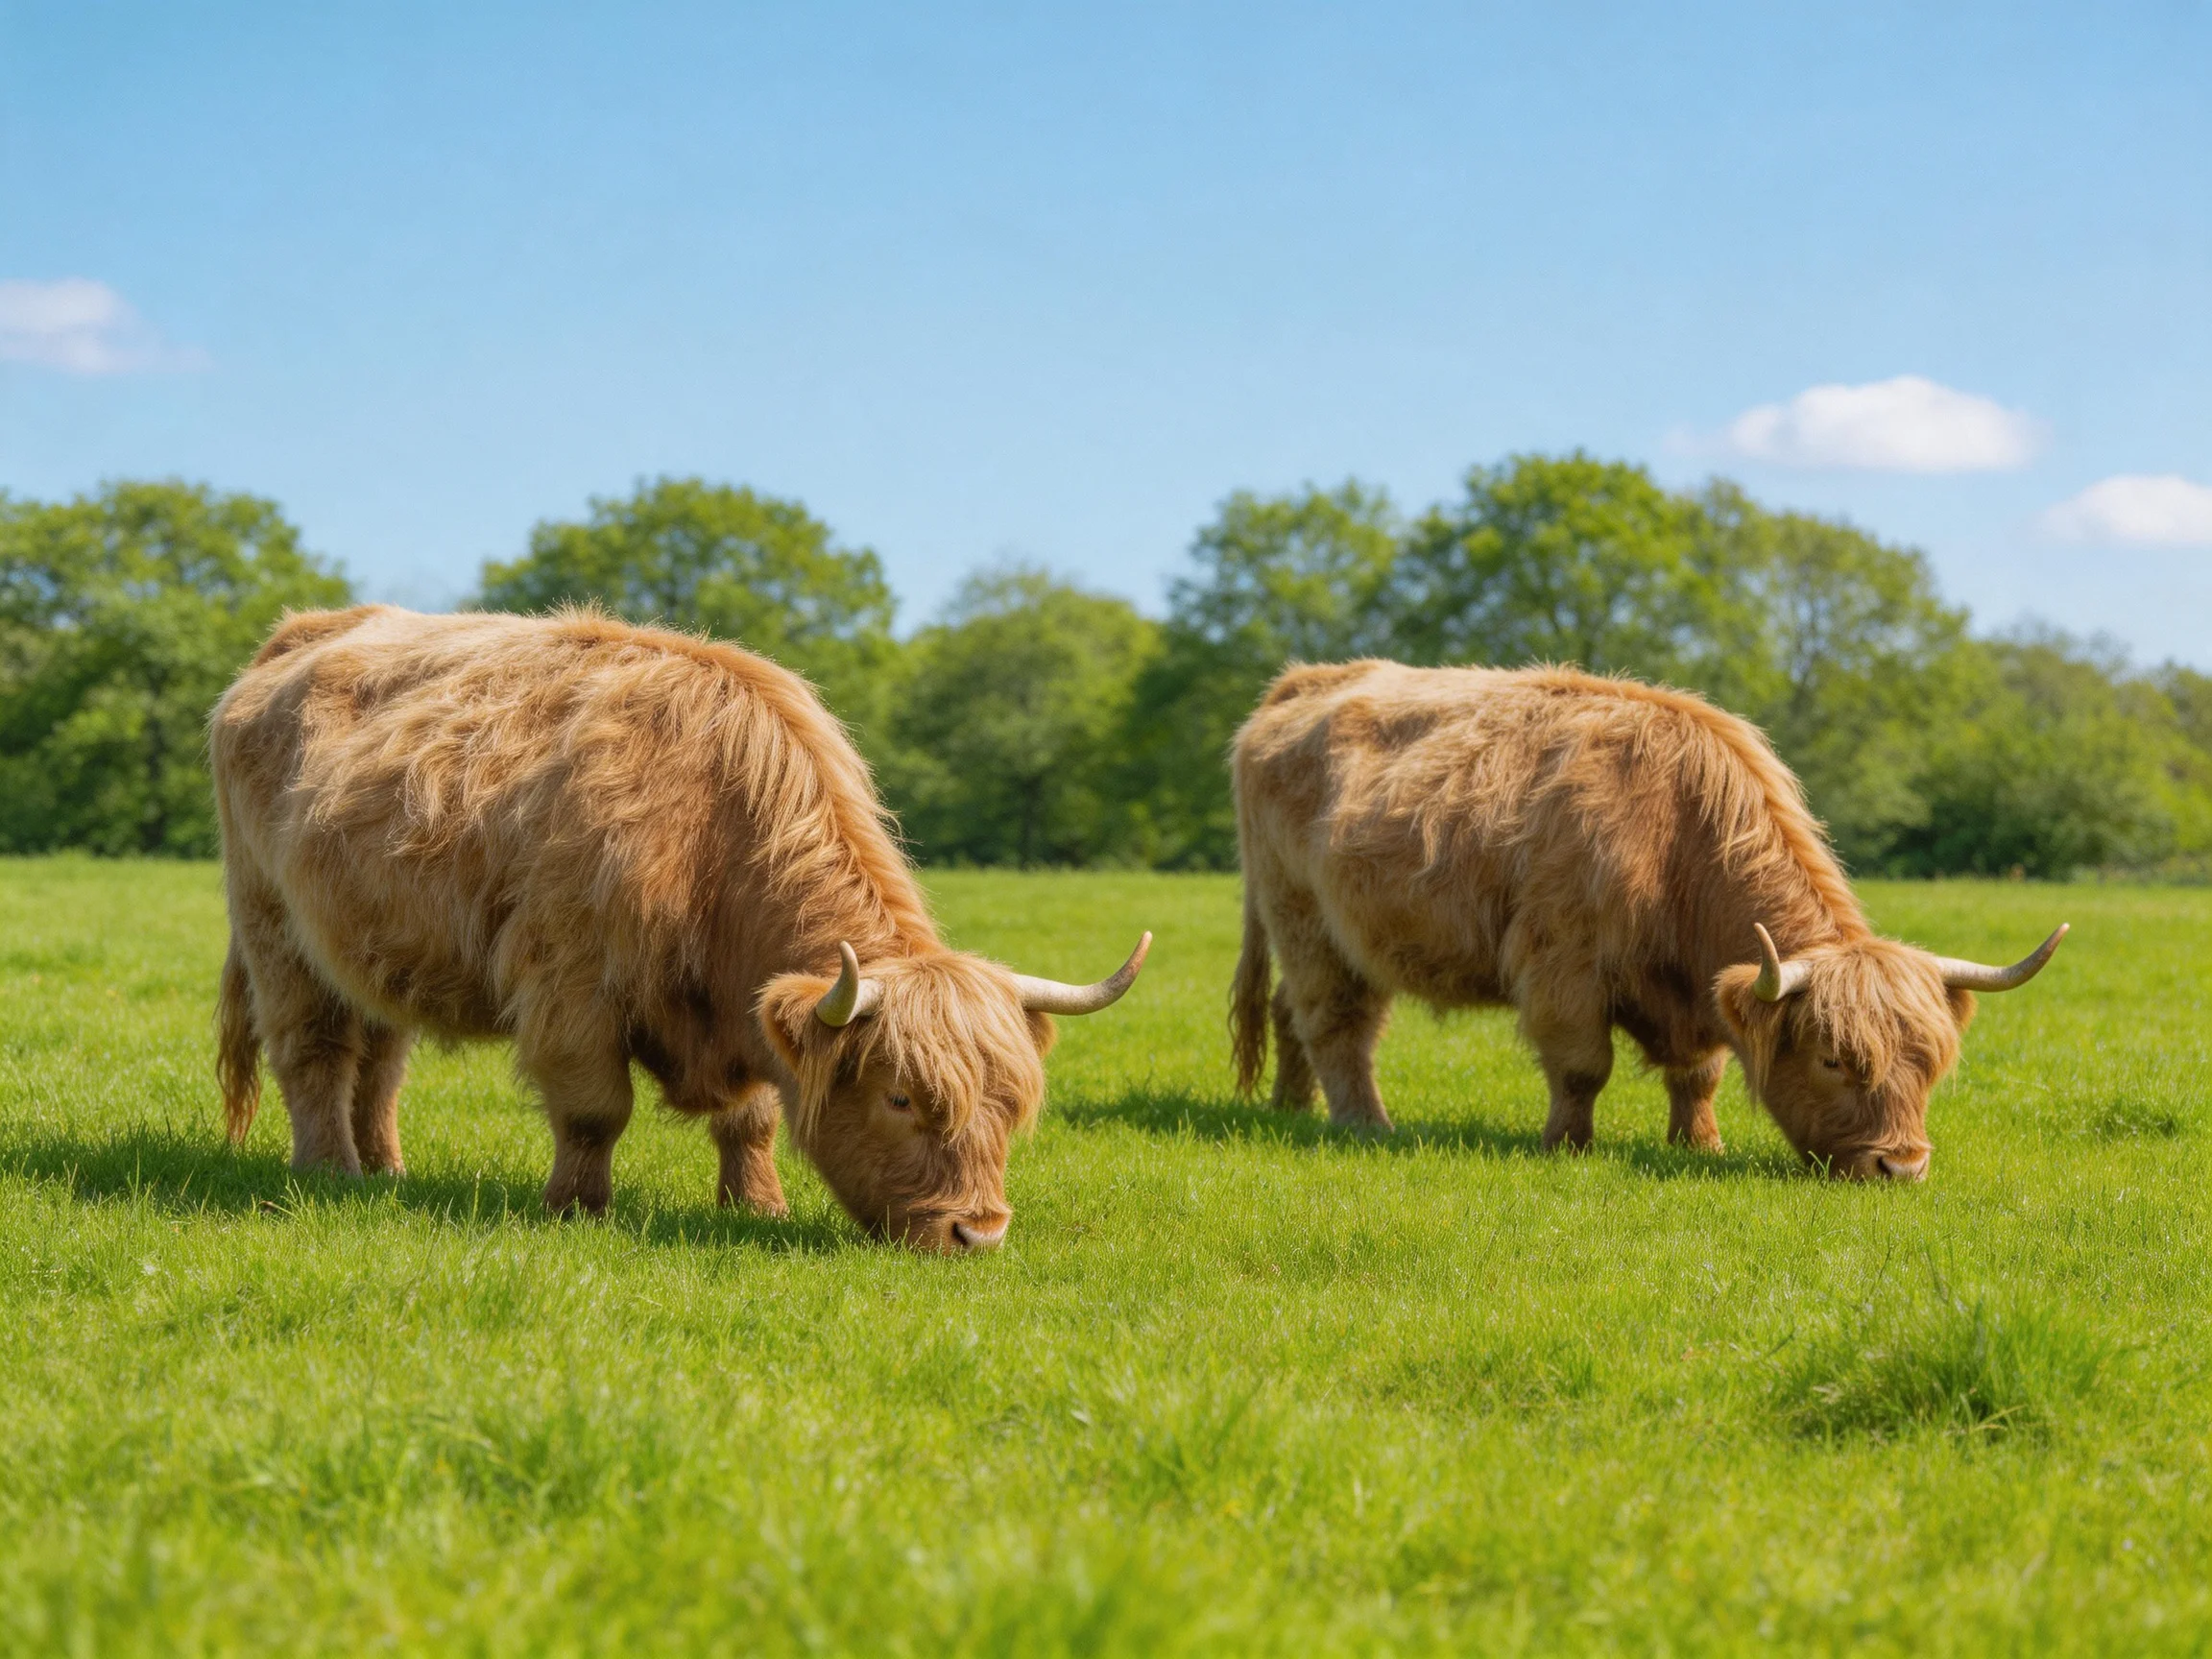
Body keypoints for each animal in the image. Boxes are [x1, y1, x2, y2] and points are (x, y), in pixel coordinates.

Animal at [210, 605, 1149, 1250]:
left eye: (1011, 1102)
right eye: (901, 1098)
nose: (979, 1233)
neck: (708, 828)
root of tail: (301, 632)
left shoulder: (758, 1004)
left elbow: (753, 1118)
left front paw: (758, 1206)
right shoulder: (571, 987)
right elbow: (595, 1110)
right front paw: (577, 1209)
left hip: (373, 947)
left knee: (380, 1062)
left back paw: (387, 1172)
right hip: (276, 932)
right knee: (315, 1054)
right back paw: (330, 1171)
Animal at [1229, 660, 2064, 1179]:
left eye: (1931, 1061)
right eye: (1834, 1059)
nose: (1903, 1166)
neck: (1675, 835)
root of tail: (1302, 683)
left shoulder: (1702, 990)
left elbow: (1699, 1074)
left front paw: (1700, 1147)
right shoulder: (1562, 963)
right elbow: (1581, 1067)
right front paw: (1567, 1147)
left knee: (1292, 1014)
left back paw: (1293, 1108)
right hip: (1305, 919)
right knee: (1336, 1025)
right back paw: (1364, 1124)